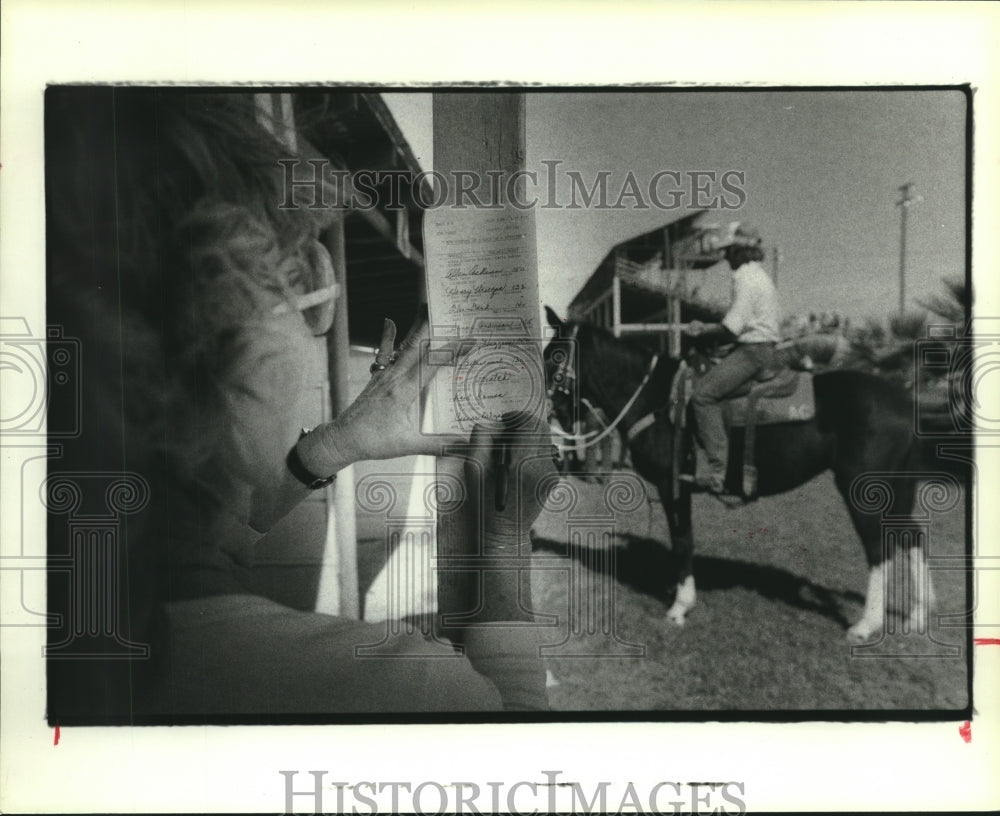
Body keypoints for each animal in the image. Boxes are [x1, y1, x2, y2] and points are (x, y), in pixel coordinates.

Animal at [544, 308, 940, 644]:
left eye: (556, 356)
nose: (554, 415)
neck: (656, 399)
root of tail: (905, 402)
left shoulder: (674, 486)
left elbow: (682, 540)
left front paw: (679, 607)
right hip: (897, 489)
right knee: (911, 535)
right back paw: (918, 615)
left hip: (862, 488)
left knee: (877, 546)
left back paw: (866, 624)